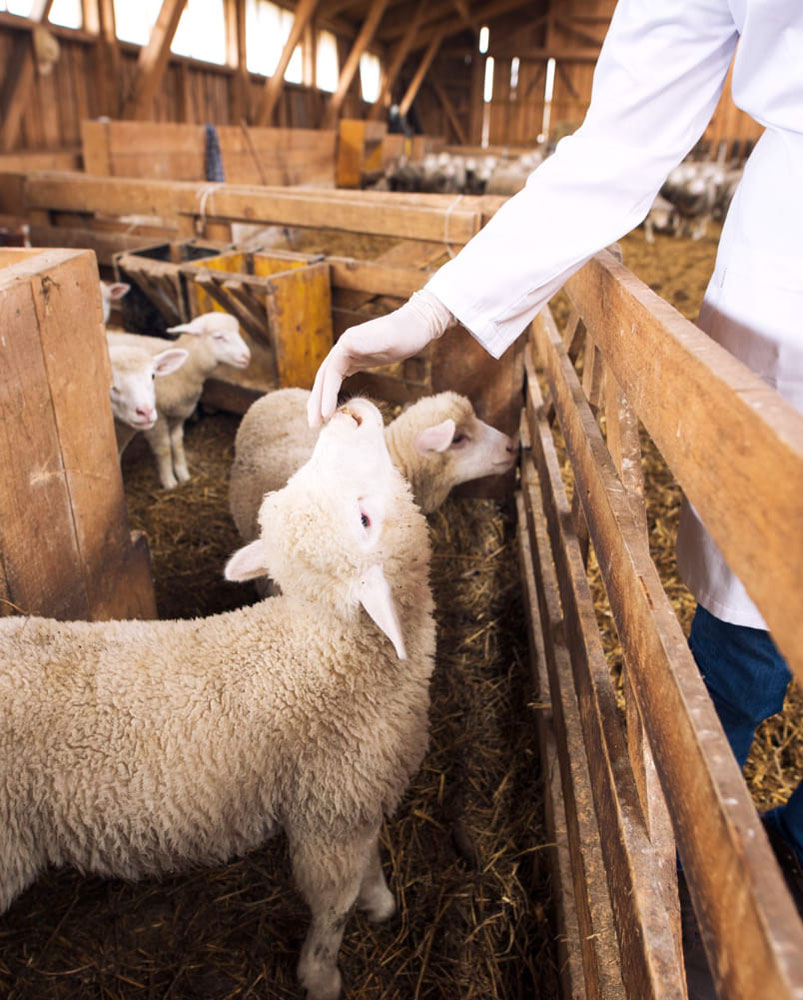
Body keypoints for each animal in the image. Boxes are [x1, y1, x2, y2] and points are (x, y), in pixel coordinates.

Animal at [0, 396, 436, 1000]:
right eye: (365, 520)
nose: (347, 411)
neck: (324, 649)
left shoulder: (356, 799)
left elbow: (367, 864)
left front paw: (379, 901)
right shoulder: (328, 810)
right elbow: (333, 906)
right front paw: (321, 976)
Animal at [107, 310, 250, 486]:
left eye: (153, 375)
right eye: (219, 337)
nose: (247, 357)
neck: (183, 371)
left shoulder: (178, 414)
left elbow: (177, 444)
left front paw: (183, 475)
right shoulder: (158, 420)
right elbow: (164, 449)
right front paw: (169, 481)